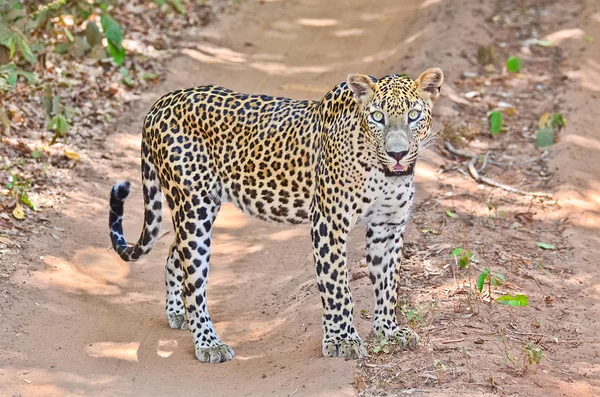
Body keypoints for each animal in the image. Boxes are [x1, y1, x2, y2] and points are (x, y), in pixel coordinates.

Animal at [109, 67, 446, 362]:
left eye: (413, 115)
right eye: (378, 117)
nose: (397, 153)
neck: (384, 173)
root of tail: (162, 102)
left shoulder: (388, 225)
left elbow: (388, 283)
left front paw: (389, 331)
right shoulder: (329, 223)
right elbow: (338, 286)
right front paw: (342, 340)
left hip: (198, 208)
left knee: (173, 254)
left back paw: (177, 312)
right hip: (194, 207)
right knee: (194, 281)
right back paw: (208, 343)